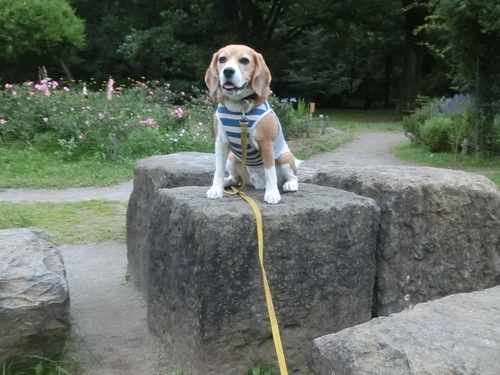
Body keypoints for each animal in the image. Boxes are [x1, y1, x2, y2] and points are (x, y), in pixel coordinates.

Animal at [203, 44, 296, 206]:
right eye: (222, 59)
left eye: (244, 60)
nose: (228, 71)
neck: (240, 106)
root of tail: (255, 182)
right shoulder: (220, 143)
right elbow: (218, 169)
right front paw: (216, 189)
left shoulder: (266, 143)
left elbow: (270, 172)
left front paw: (272, 194)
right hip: (232, 158)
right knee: (235, 179)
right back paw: (226, 182)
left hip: (286, 157)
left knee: (292, 177)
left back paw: (289, 184)